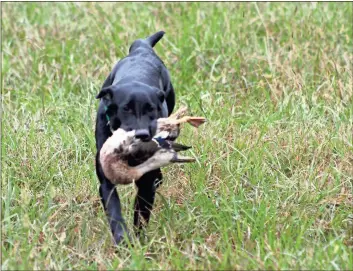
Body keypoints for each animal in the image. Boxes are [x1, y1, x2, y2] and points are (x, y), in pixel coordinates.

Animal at [94, 30, 175, 245]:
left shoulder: (145, 183)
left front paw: (139, 243)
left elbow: (141, 214)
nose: (142, 135)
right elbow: (114, 212)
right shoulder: (106, 182)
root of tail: (142, 48)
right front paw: (122, 240)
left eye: (151, 109)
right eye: (126, 108)